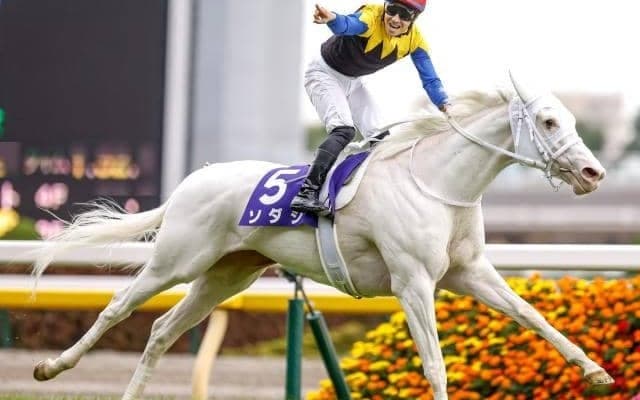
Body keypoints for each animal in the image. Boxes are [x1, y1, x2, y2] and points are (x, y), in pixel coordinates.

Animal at [30, 73, 611, 400]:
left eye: (570, 119)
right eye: (548, 121)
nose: (593, 173)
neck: (438, 182)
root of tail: (190, 182)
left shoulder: (469, 272)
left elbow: (533, 316)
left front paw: (594, 371)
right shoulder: (413, 282)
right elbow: (435, 364)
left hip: (226, 276)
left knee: (161, 330)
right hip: (178, 260)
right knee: (118, 307)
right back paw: (52, 367)